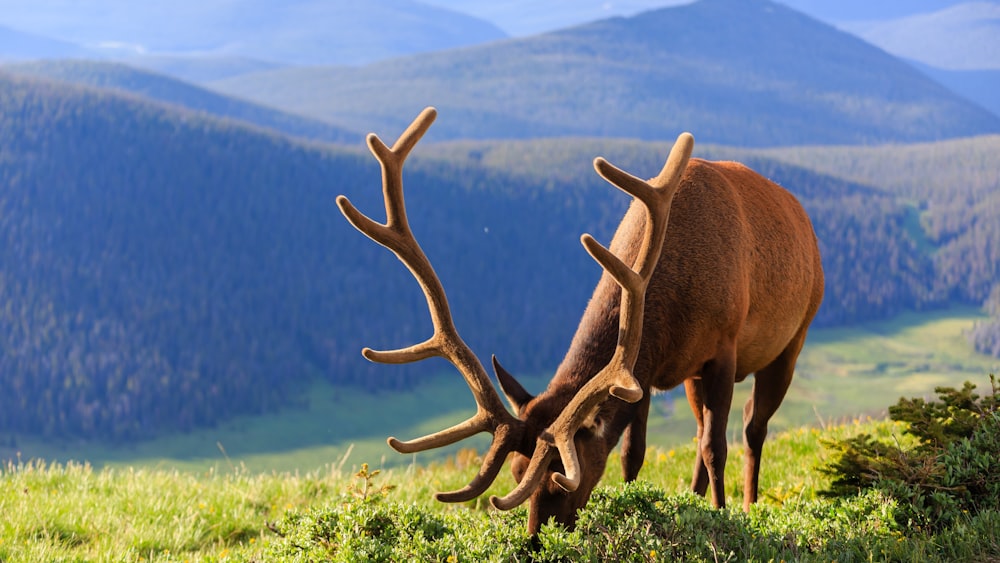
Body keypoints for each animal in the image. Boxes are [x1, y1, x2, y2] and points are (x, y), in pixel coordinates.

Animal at [340, 108, 824, 536]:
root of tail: (804, 217)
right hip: (693, 378)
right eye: (515, 471)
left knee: (751, 427)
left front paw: (723, 517)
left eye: (562, 477)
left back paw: (747, 502)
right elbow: (634, 452)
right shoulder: (642, 373)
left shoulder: (722, 348)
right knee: (713, 424)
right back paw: (695, 496)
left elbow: (714, 447)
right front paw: (640, 505)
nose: (536, 539)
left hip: (793, 339)